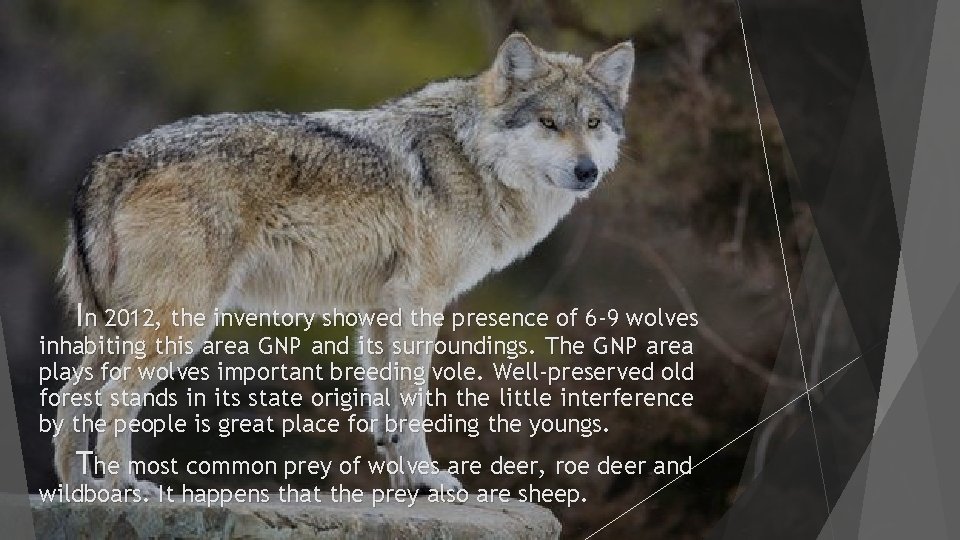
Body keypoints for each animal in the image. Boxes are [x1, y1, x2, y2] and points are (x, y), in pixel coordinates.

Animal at [56, 33, 633, 494]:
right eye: (549, 123)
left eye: (593, 124)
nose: (587, 171)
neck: (471, 157)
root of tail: (112, 160)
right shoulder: (420, 304)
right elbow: (413, 405)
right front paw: (430, 479)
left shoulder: (380, 311)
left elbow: (387, 413)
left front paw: (406, 486)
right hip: (181, 326)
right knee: (113, 398)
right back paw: (124, 486)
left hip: (113, 333)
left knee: (70, 398)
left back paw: (81, 488)